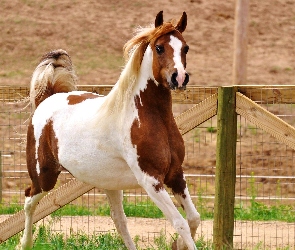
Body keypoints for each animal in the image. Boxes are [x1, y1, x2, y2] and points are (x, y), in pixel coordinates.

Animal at [20, 11, 201, 250]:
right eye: (159, 47)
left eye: (185, 48)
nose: (179, 78)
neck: (150, 118)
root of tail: (47, 98)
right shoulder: (151, 181)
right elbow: (180, 223)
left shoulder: (176, 174)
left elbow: (193, 218)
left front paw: (176, 245)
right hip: (44, 176)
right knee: (28, 199)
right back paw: (24, 243)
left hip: (108, 183)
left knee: (119, 220)